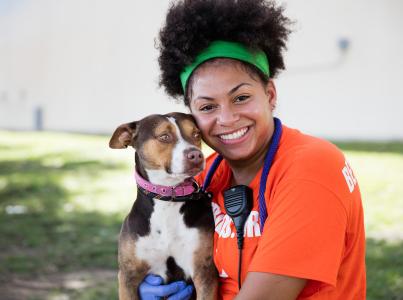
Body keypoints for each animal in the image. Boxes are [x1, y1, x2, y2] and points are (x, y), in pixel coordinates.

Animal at [109, 113, 218, 300]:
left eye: (196, 134)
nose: (196, 155)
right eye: (164, 137)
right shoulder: (128, 277)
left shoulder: (204, 274)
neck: (167, 197)